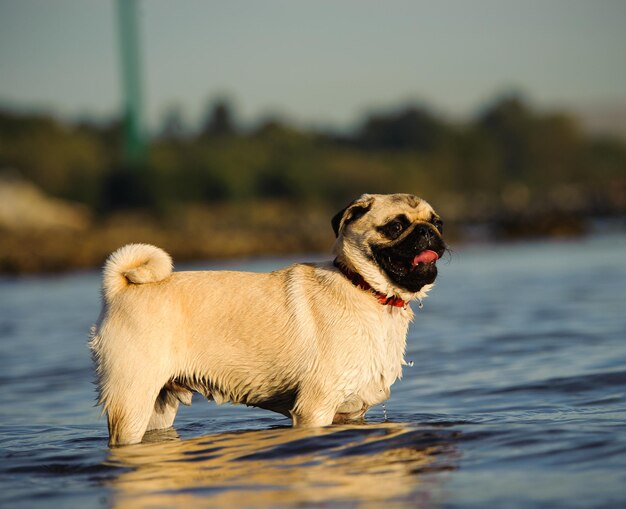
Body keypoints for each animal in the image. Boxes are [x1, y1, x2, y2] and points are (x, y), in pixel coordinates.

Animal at [91, 192, 444, 442]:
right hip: (132, 403)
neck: (366, 289)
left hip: (158, 408)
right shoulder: (315, 409)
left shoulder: (350, 413)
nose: (428, 232)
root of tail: (119, 288)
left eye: (437, 223)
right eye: (396, 227)